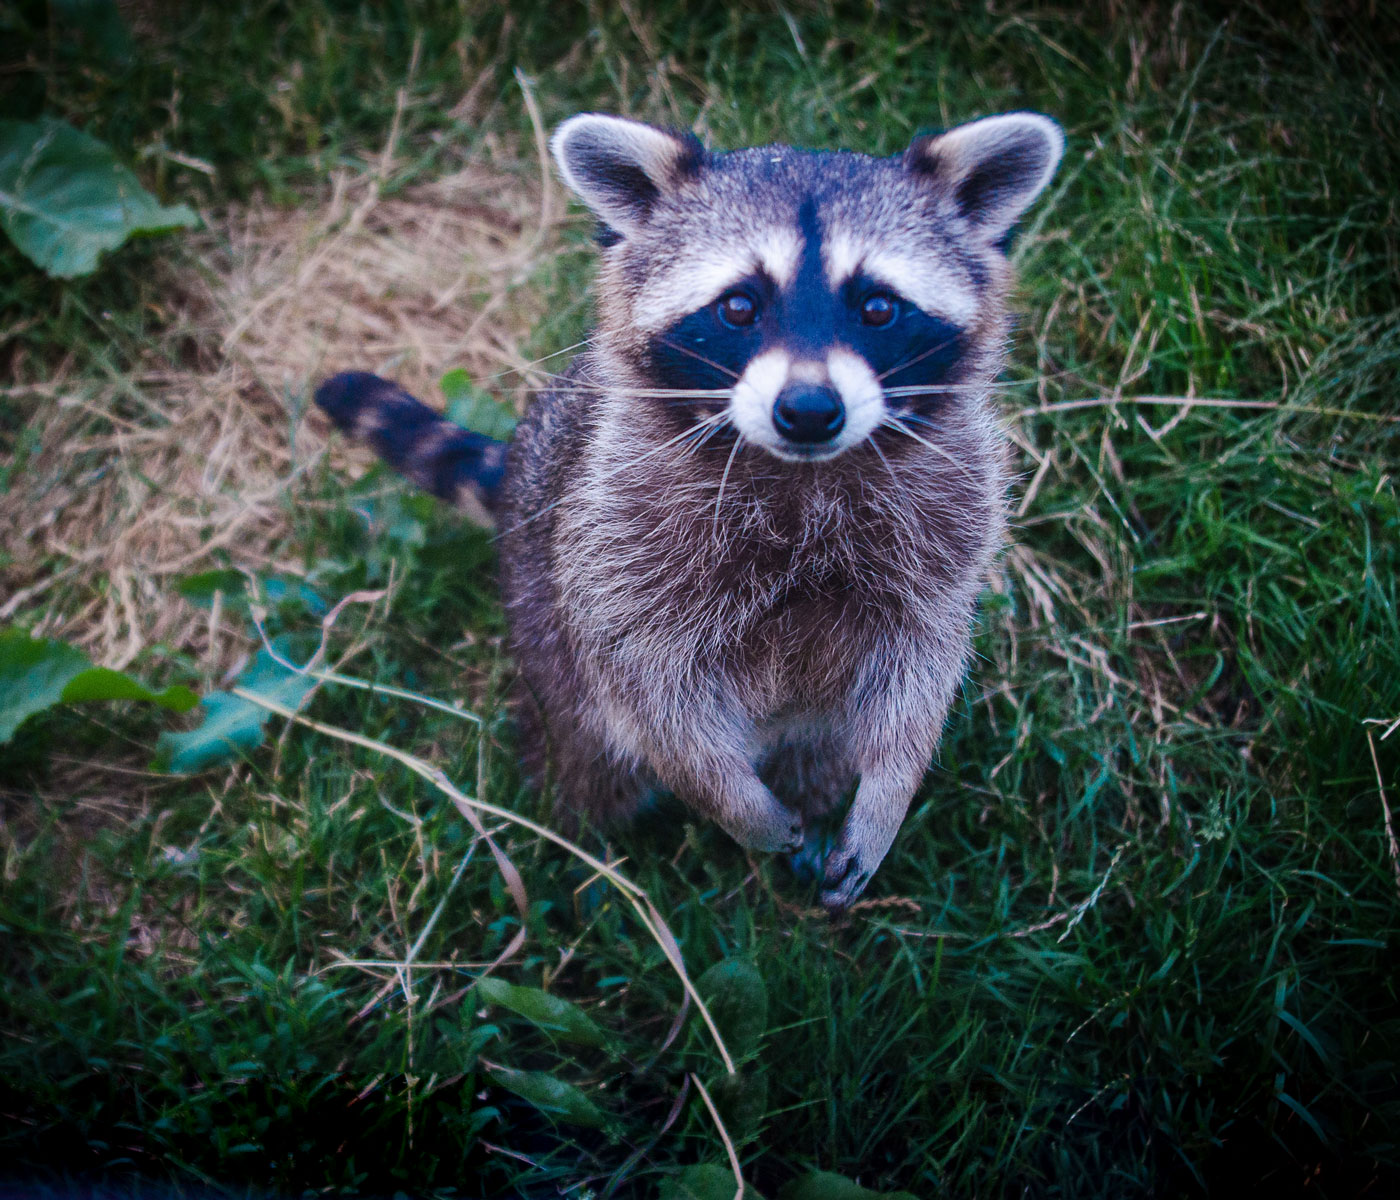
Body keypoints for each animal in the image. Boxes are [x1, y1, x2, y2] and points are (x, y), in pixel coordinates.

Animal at [316, 110, 1063, 908]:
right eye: (738, 306)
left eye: (878, 306)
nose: (809, 410)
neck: (801, 471)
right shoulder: (616, 537)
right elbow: (650, 693)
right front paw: (731, 800)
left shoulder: (949, 521)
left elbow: (921, 670)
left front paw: (889, 791)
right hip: (540, 612)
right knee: (584, 757)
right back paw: (579, 848)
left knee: (822, 749)